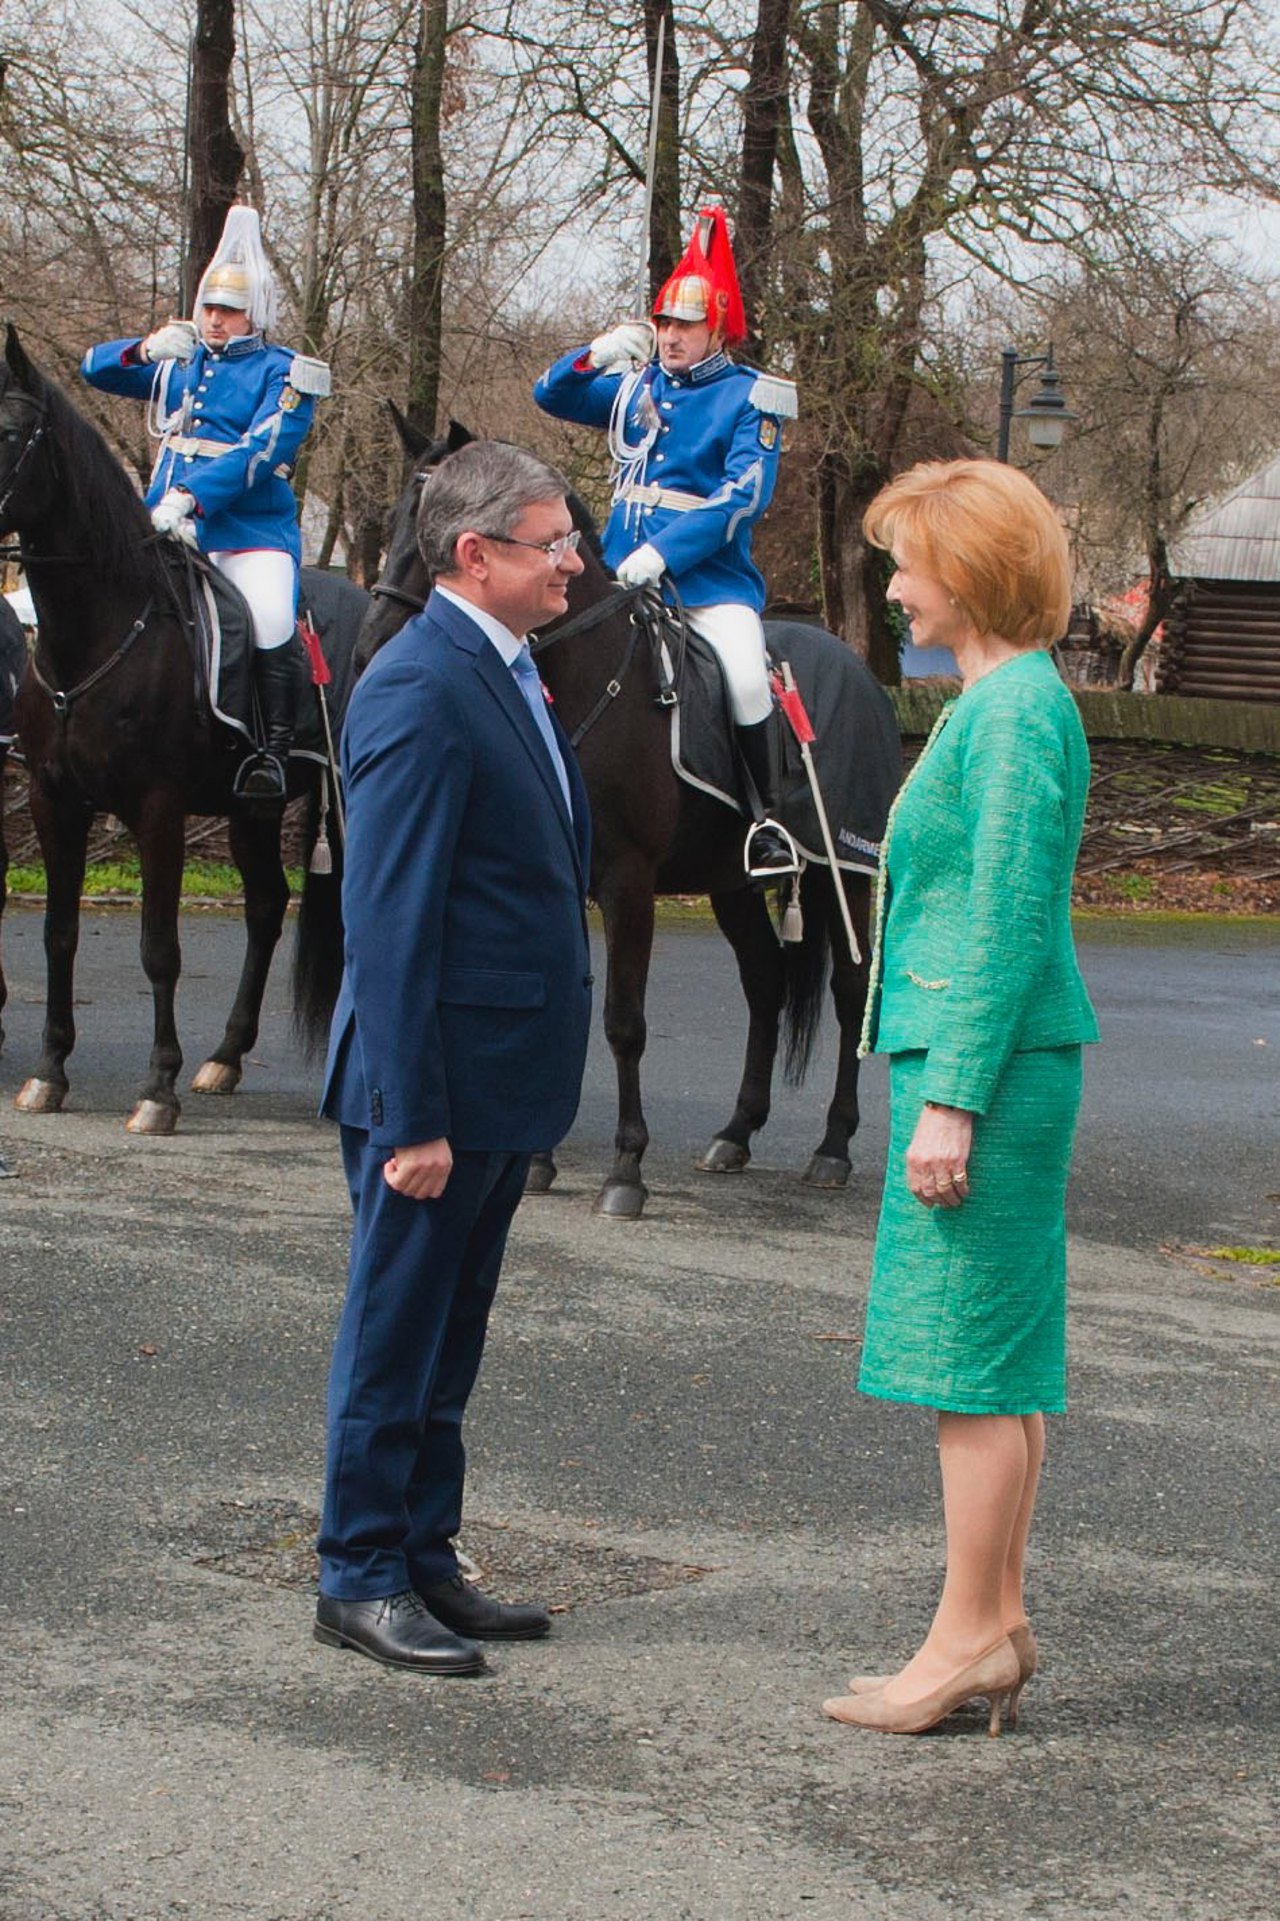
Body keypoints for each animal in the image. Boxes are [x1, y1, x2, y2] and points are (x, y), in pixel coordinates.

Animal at [0, 324, 363, 1129]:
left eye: (8, 432)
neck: (98, 632)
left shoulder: (157, 809)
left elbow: (159, 948)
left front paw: (155, 1087)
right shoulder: (53, 802)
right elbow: (58, 935)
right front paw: (48, 1070)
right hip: (253, 810)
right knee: (267, 906)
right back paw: (226, 1056)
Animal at [338, 424, 895, 1214]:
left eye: (432, 528)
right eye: (389, 520)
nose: (369, 650)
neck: (584, 674)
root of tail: (861, 673)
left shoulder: (627, 882)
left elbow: (623, 1022)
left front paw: (626, 1166)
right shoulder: (564, 879)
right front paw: (538, 1158)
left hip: (842, 871)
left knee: (850, 992)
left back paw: (833, 1146)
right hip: (730, 883)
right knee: (765, 983)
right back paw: (736, 1133)